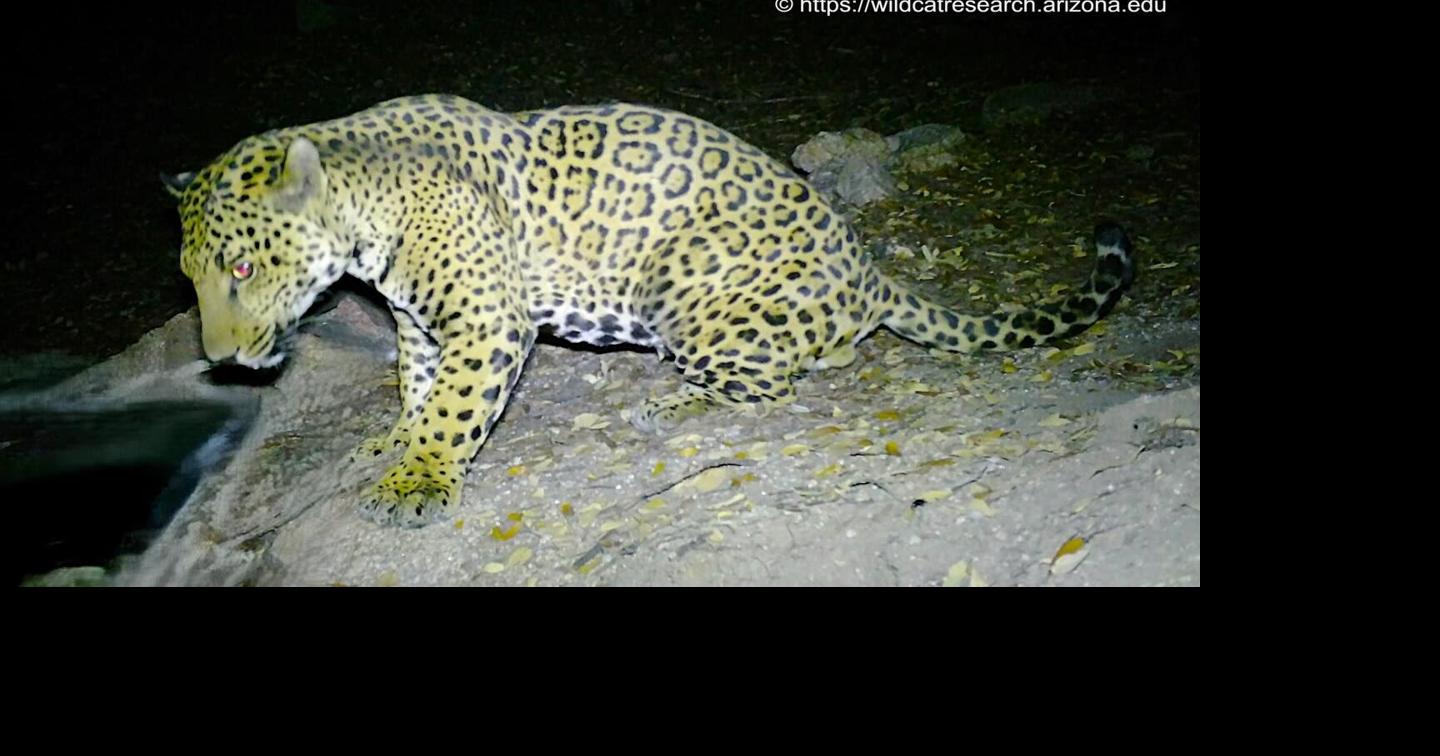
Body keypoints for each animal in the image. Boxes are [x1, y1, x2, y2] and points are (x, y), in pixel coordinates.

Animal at [163, 94, 1134, 528]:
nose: (221, 360)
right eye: (191, 277)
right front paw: (395, 445)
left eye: (243, 266)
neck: (366, 218)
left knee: (783, 380)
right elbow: (416, 389)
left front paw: (419, 480)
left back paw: (674, 403)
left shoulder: (487, 321)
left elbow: (452, 409)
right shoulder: (421, 322)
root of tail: (870, 269)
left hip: (689, 299)